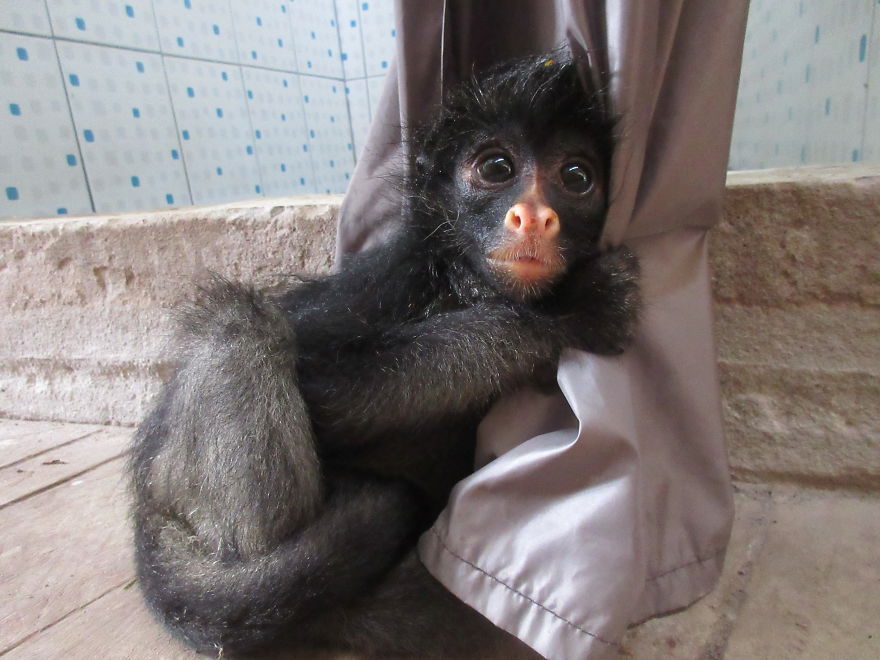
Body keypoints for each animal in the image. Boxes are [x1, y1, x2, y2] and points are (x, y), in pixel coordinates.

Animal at [130, 54, 640, 658]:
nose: (534, 216)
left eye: (577, 178)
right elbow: (322, 389)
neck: (463, 281)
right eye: (496, 168)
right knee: (238, 321)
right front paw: (569, 314)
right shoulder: (395, 276)